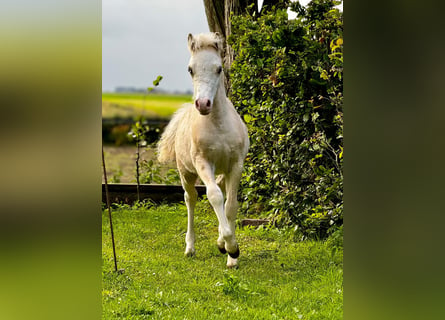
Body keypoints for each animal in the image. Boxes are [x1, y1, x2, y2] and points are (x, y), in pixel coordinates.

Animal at [157, 32, 248, 268]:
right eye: (190, 69)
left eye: (219, 68)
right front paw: (232, 248)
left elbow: (231, 205)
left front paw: (230, 255)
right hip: (186, 172)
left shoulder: (236, 165)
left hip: (222, 171)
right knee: (191, 198)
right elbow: (214, 196)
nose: (203, 104)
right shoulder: (203, 163)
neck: (219, 125)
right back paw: (190, 247)